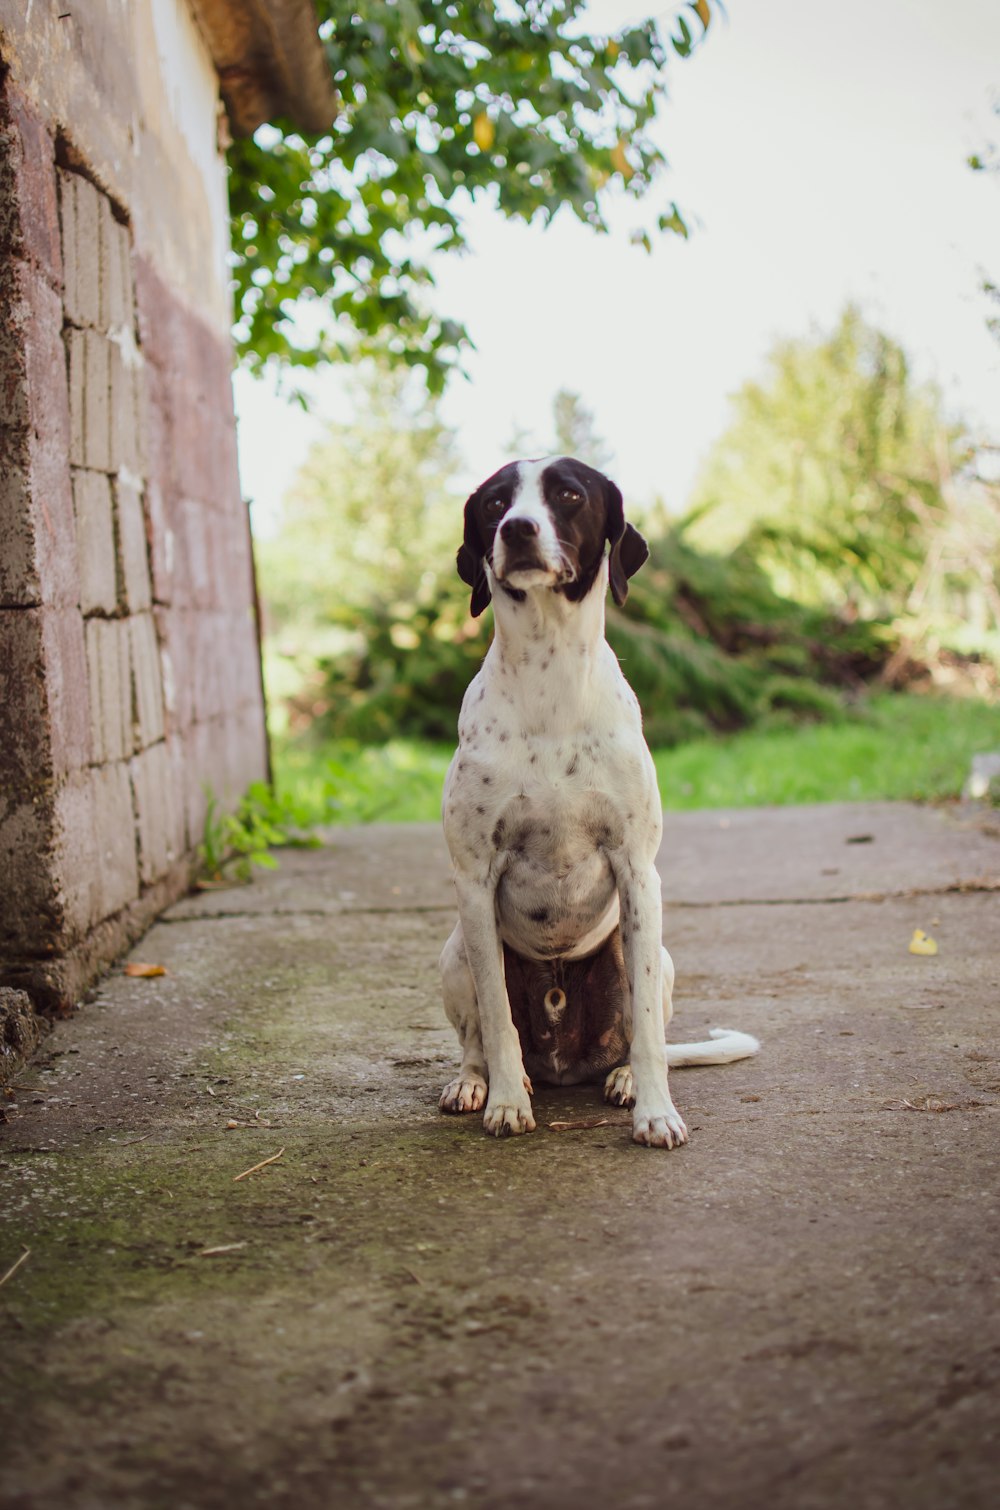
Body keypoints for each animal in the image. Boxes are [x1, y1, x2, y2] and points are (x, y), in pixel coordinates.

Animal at [438, 456, 761, 1141]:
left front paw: (657, 1112)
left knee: (641, 1033)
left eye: (568, 495)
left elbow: (648, 1035)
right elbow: (497, 1020)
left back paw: (626, 1078)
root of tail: (565, 1063)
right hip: (454, 953)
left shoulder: (638, 870)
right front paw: (508, 1101)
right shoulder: (473, 881)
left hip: (657, 957)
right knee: (479, 1036)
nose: (518, 529)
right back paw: (478, 1083)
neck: (551, 679)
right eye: (495, 504)